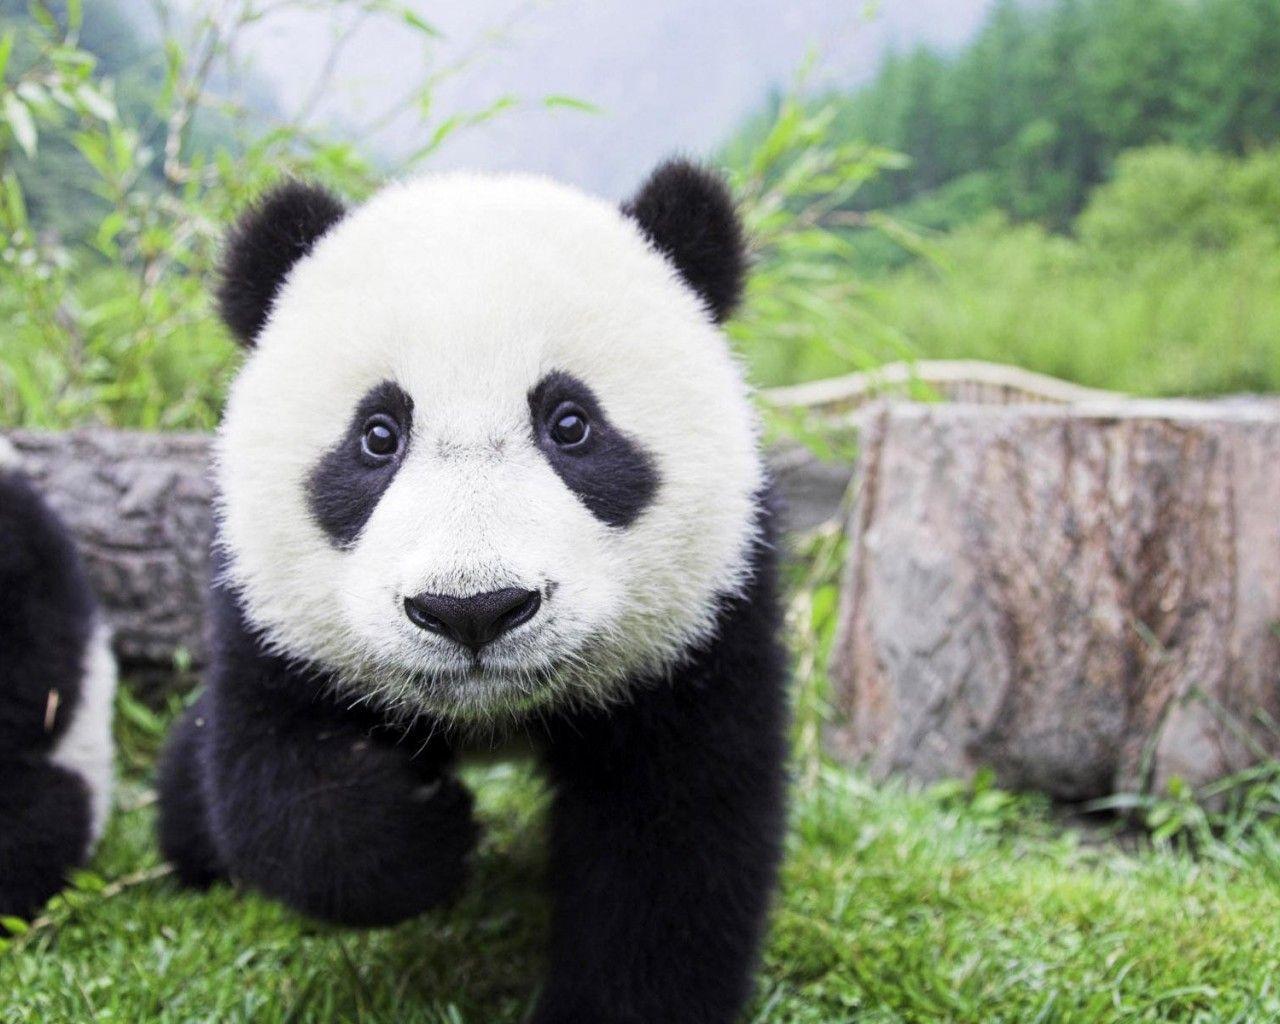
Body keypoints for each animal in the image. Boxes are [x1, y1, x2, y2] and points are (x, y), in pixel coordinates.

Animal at [157, 161, 789, 1023]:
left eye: (571, 424)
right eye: (377, 435)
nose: (473, 610)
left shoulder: (708, 619)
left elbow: (674, 845)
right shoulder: (265, 613)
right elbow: (275, 777)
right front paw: (423, 829)